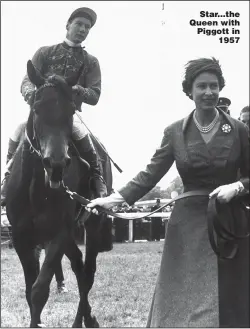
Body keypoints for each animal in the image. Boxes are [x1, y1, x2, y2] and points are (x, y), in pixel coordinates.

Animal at [5, 60, 113, 326]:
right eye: (37, 108)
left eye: (71, 110)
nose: (56, 163)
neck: (36, 190)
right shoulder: (21, 237)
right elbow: (29, 290)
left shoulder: (59, 234)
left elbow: (39, 290)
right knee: (78, 265)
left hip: (91, 228)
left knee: (87, 273)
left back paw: (84, 320)